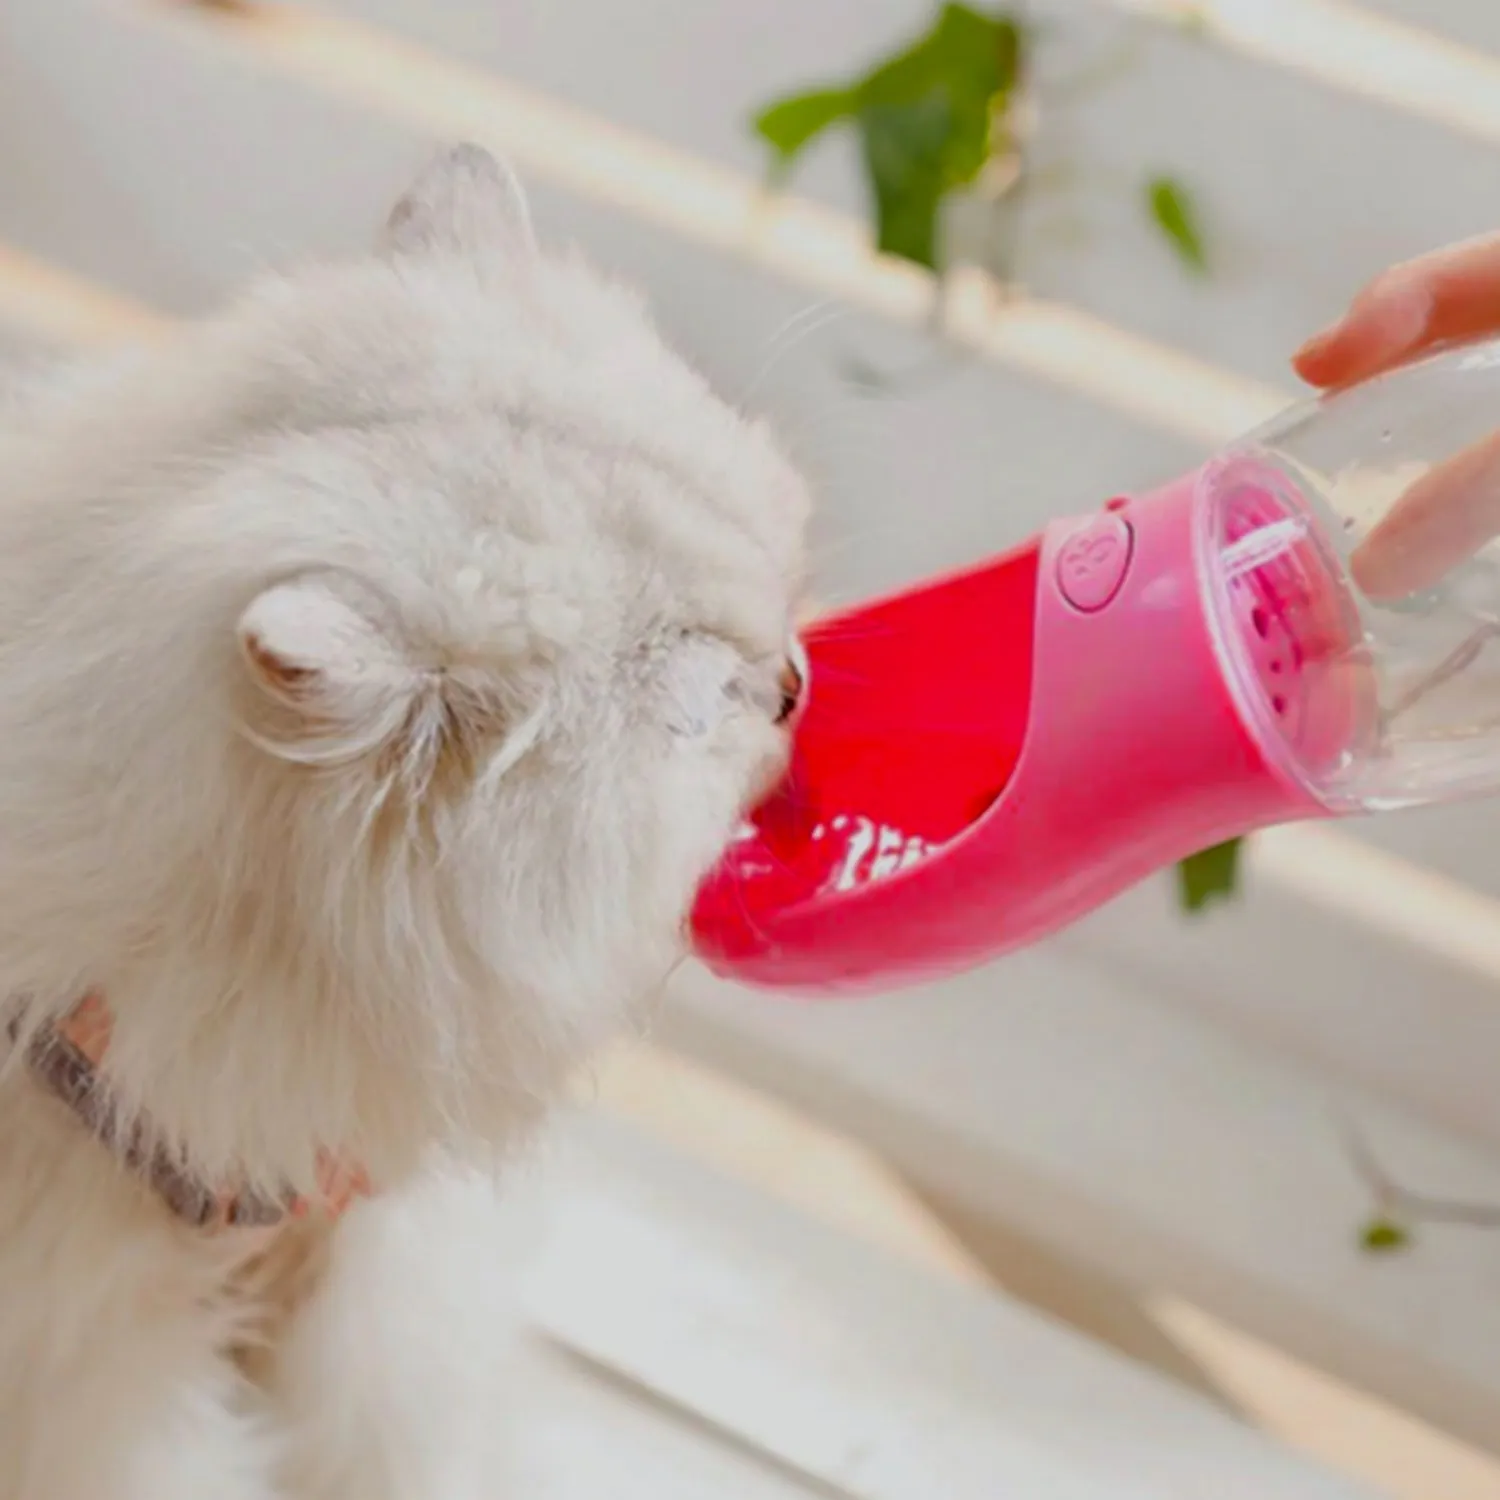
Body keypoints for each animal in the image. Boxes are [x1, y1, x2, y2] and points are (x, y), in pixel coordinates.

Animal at [0, 143, 810, 1500]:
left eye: (770, 581)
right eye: (699, 684)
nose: (799, 678)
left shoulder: (370, 1259)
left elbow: (388, 1428)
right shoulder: (102, 1370)